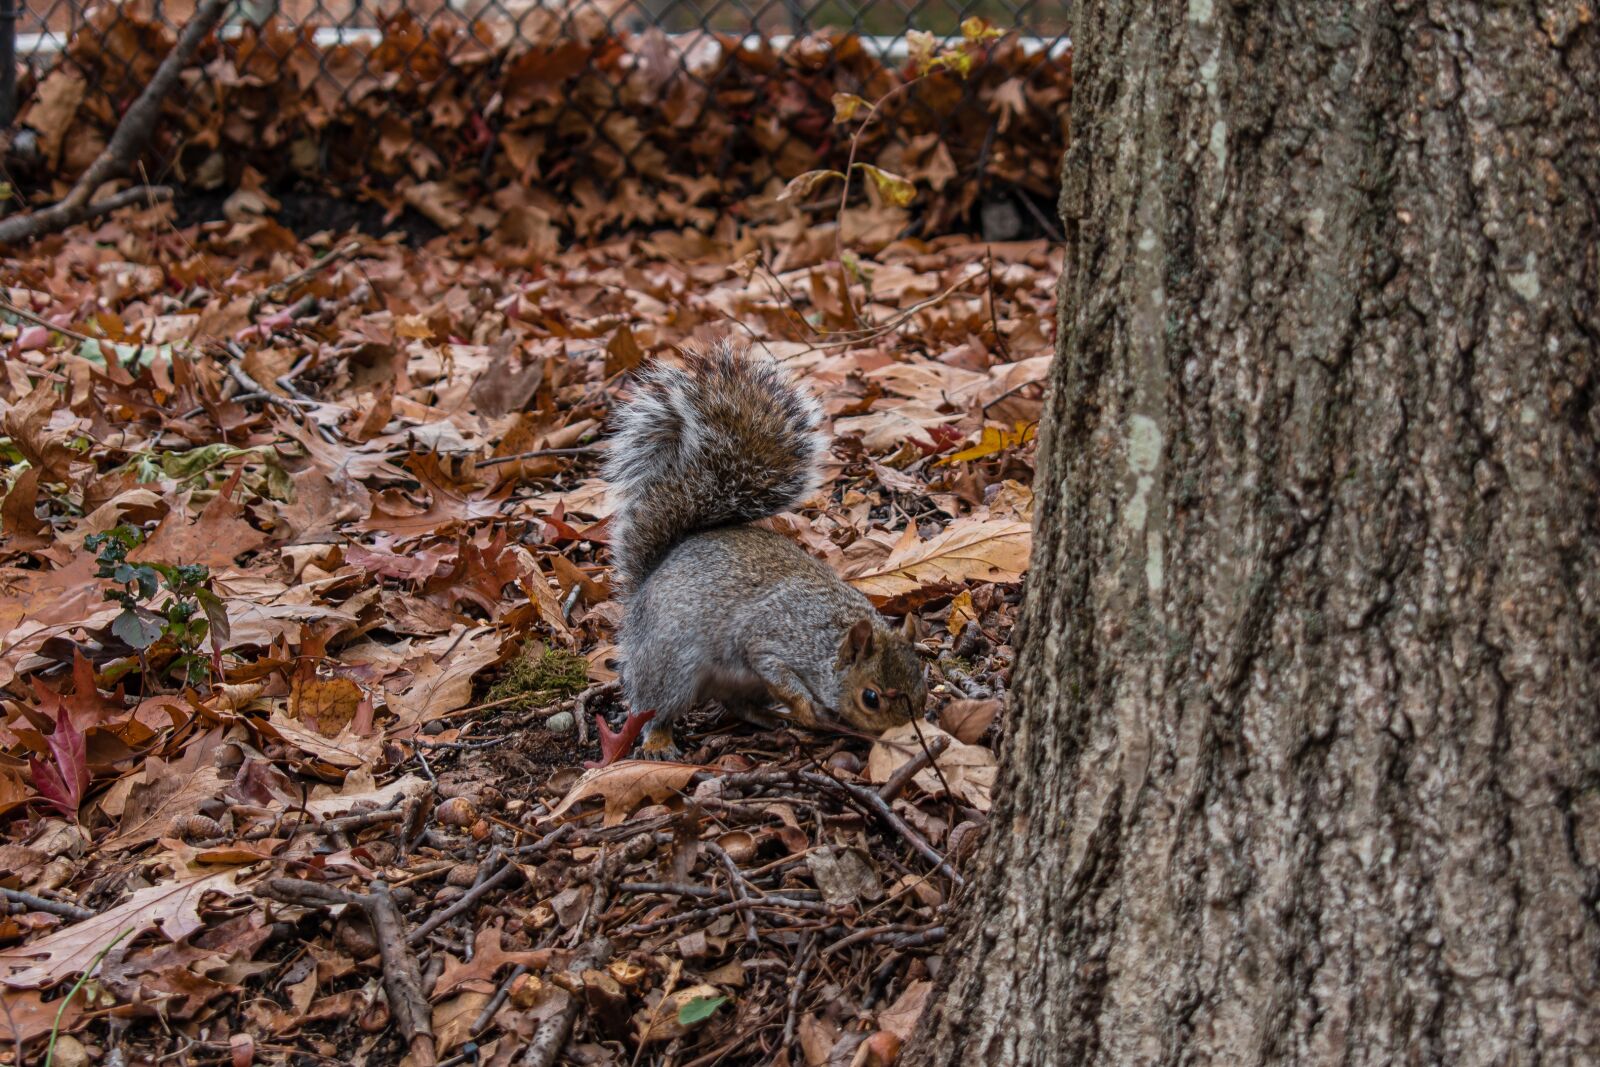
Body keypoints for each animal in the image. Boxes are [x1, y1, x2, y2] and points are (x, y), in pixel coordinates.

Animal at [601, 340, 926, 760]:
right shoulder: (768, 642)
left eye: (922, 683)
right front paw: (807, 708)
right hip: (671, 665)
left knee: (737, 704)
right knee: (654, 707)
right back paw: (659, 739)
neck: (829, 639)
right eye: (871, 698)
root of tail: (646, 584)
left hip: (737, 683)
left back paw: (771, 719)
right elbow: (777, 673)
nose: (906, 733)